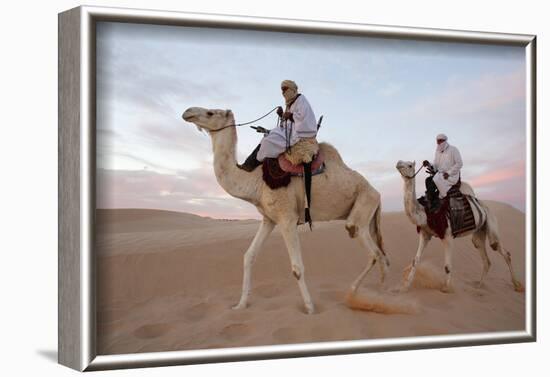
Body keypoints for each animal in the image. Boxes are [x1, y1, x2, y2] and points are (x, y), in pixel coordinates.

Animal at [183, 107, 390, 312]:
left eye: (210, 113)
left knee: (373, 252)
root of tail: (378, 193)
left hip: (362, 208)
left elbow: (297, 268)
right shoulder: (269, 219)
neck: (256, 181)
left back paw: (356, 294)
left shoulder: (287, 218)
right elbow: (249, 256)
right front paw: (240, 305)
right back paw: (382, 293)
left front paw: (310, 309)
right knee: (383, 256)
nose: (187, 113)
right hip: (369, 215)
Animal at [396, 160, 528, 292]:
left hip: (491, 222)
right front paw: (405, 286)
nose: (398, 163)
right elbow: (415, 260)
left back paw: (517, 285)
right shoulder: (425, 233)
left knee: (500, 249)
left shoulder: (448, 236)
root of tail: (485, 207)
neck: (426, 212)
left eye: (410, 165)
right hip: (479, 232)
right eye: (402, 161)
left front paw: (446, 288)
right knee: (485, 258)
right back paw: (479, 285)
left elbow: (447, 266)